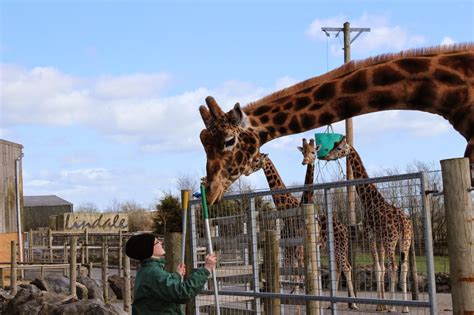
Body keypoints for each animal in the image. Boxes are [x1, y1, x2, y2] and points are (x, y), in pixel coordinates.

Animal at [298, 138, 358, 312]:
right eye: (303, 151)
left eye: (313, 152)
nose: (305, 161)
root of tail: (345, 228)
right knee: (337, 268)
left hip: (339, 247)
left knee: (346, 267)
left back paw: (354, 303)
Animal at [322, 137, 412, 314]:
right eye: (334, 145)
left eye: (340, 148)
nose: (327, 156)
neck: (368, 200)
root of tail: (403, 221)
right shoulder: (378, 239)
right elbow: (381, 268)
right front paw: (381, 304)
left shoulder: (371, 235)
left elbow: (378, 267)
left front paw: (382, 305)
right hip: (405, 241)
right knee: (403, 267)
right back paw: (405, 307)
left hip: (391, 240)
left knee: (393, 266)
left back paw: (394, 306)